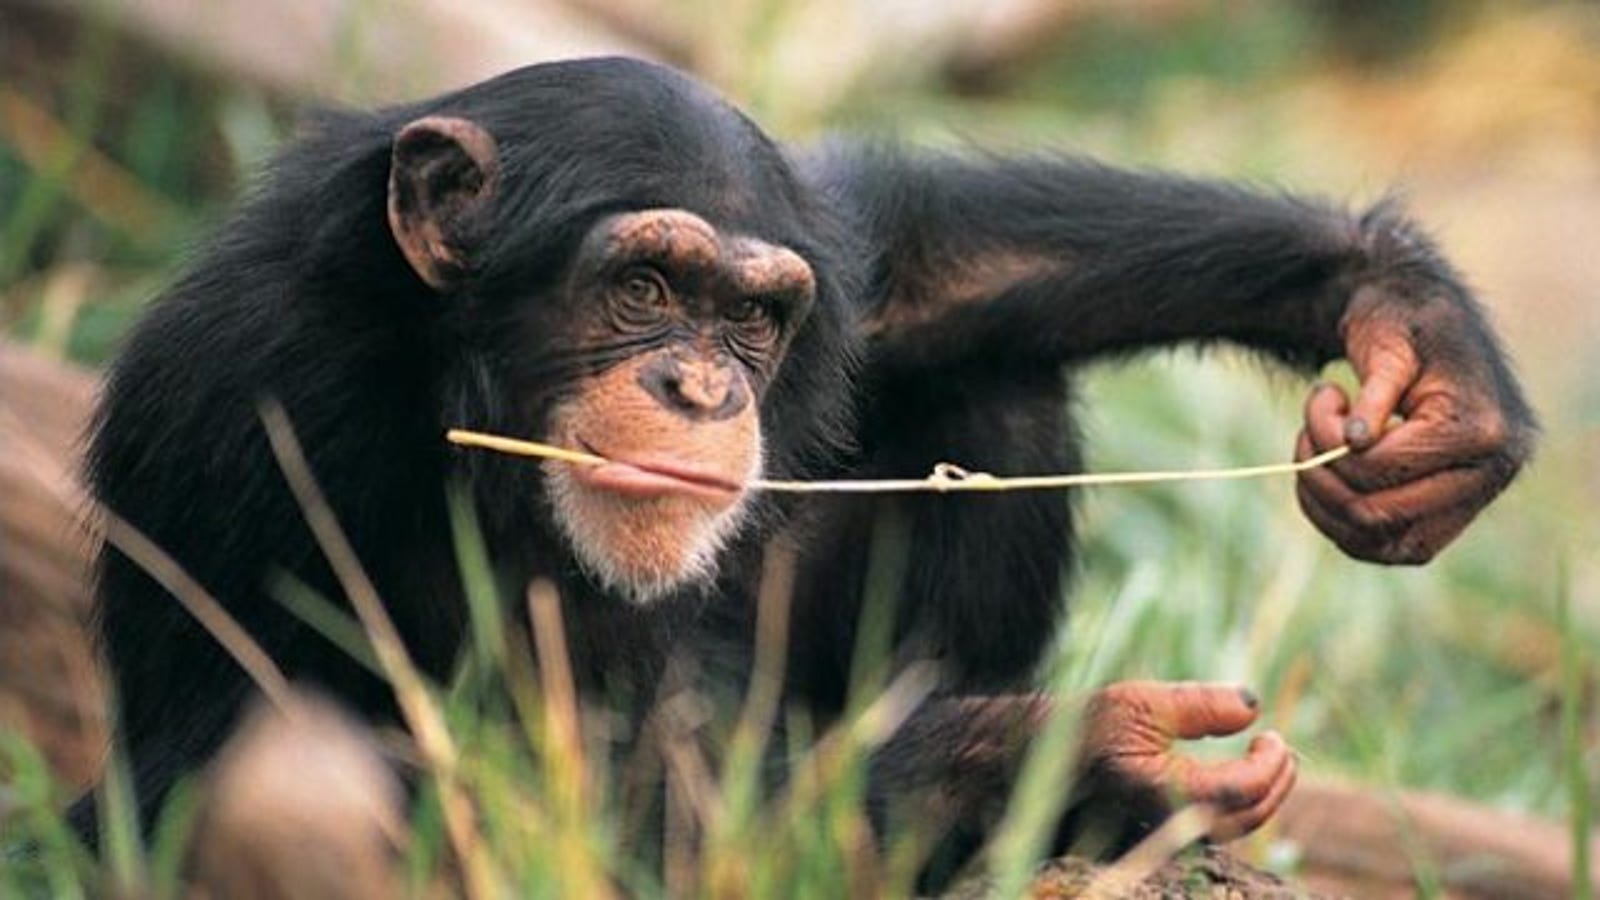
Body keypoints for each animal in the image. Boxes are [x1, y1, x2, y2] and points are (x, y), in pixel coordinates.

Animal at [78, 57, 1536, 883]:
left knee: (988, 385)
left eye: (752, 317)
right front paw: (1082, 757)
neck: (440, 370)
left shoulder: (827, 252)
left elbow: (910, 256)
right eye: (642, 286)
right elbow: (483, 799)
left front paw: (1409, 326)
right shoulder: (261, 403)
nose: (703, 386)